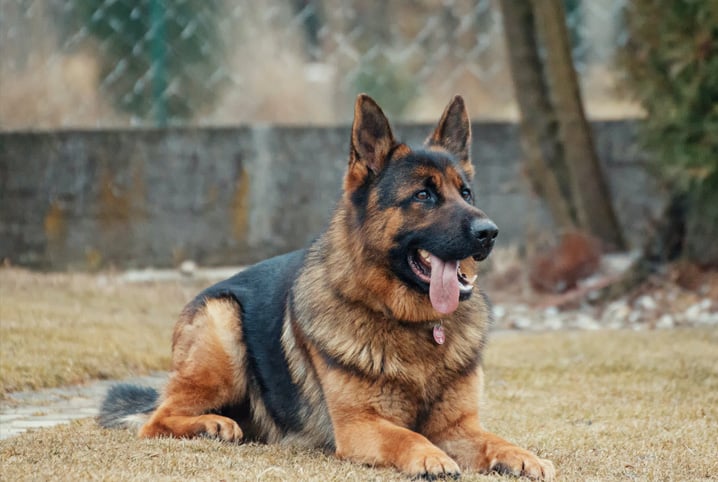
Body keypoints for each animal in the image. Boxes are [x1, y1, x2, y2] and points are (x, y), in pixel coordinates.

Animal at [98, 94, 556, 478]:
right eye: (423, 196)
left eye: (466, 193)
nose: (489, 232)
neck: (413, 324)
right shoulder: (360, 426)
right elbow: (407, 435)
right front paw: (430, 456)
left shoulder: (460, 426)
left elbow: (497, 439)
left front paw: (524, 456)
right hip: (222, 324)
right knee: (156, 419)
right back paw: (212, 423)